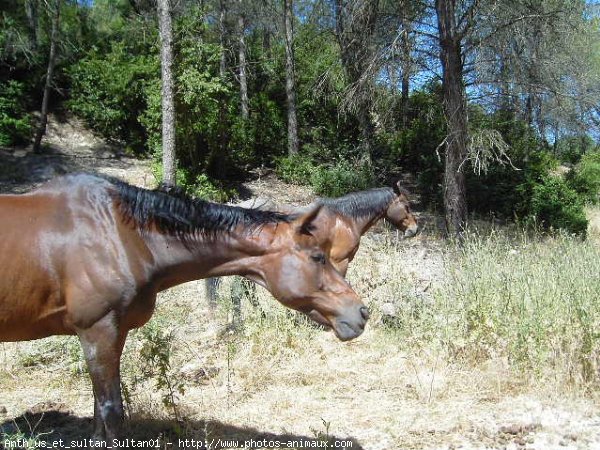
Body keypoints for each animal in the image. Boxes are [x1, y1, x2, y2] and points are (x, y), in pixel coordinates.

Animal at [0, 174, 366, 442]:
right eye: (318, 257)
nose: (361, 312)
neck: (119, 234)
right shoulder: (97, 332)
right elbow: (111, 410)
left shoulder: (111, 335)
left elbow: (99, 412)